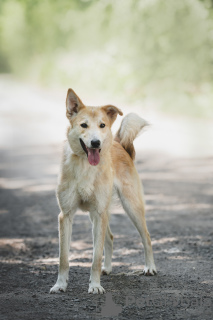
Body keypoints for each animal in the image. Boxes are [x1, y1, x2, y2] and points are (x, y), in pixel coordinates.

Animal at [50, 89, 156, 294]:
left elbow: (95, 258)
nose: (95, 142)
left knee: (146, 237)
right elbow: (63, 258)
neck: (85, 166)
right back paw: (107, 268)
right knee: (111, 238)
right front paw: (60, 285)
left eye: (102, 125)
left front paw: (95, 286)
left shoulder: (99, 214)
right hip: (97, 214)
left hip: (130, 206)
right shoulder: (66, 215)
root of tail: (119, 144)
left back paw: (149, 267)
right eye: (84, 125)